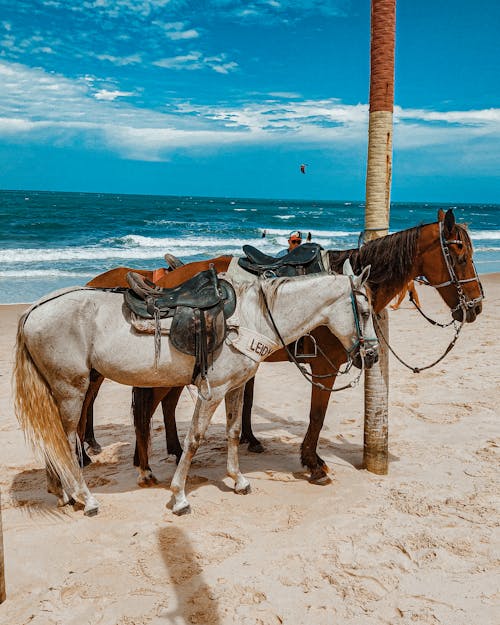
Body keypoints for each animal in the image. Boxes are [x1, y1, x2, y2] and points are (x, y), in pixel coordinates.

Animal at [13, 260, 376, 516]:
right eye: (364, 311)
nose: (371, 355)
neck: (251, 318)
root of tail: (35, 309)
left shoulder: (235, 387)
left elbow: (233, 431)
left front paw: (238, 479)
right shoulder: (212, 390)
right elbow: (194, 440)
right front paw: (179, 497)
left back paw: (62, 492)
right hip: (71, 389)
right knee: (64, 439)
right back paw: (85, 498)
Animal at [83, 210, 484, 482]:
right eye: (460, 255)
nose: (476, 307)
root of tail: (162, 284)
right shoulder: (325, 366)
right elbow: (317, 415)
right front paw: (313, 462)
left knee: (157, 406)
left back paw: (167, 452)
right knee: (144, 407)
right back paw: (141, 463)